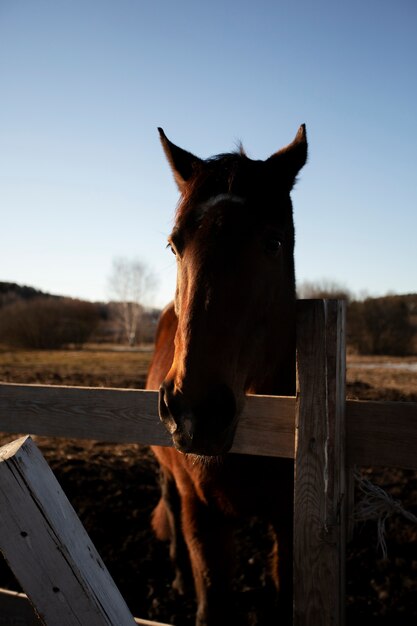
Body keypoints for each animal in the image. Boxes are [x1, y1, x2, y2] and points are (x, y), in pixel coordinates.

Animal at [145, 123, 306, 624]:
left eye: (273, 242)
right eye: (174, 244)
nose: (196, 413)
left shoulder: (289, 518)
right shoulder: (203, 514)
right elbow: (212, 601)